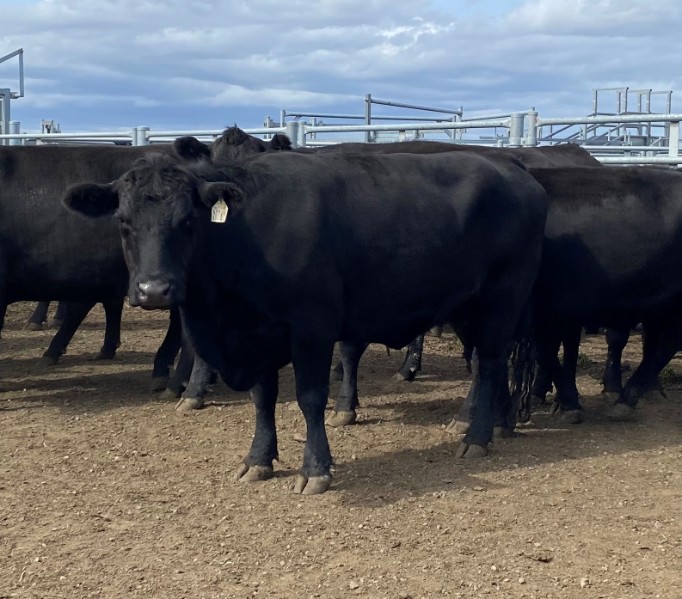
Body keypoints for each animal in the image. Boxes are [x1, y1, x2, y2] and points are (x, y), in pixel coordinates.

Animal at [63, 147, 547, 494]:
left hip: (503, 296)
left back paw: (478, 436)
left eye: (187, 221)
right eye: (123, 222)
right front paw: (257, 460)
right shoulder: (258, 336)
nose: (154, 290)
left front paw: (316, 468)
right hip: (468, 305)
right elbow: (262, 399)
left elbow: (310, 399)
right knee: (487, 364)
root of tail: (510, 165)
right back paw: (486, 423)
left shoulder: (312, 328)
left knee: (491, 362)